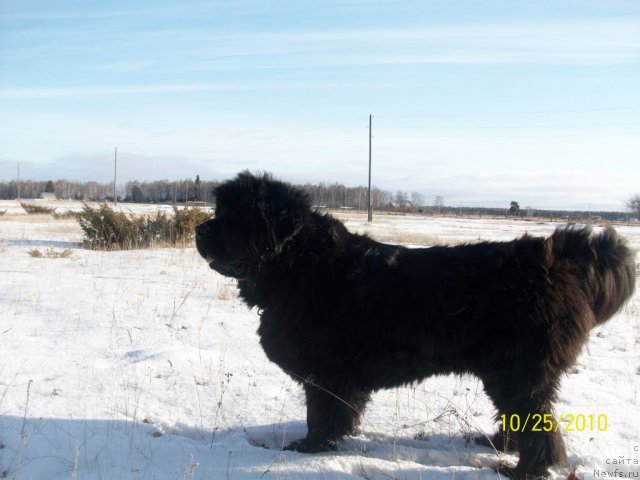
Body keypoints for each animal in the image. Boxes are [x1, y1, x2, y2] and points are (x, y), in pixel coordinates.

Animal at [195, 171, 636, 478]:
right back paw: (497, 444)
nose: (199, 228)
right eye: (219, 212)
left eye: (234, 217)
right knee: (522, 419)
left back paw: (523, 471)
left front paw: (310, 447)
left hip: (518, 373)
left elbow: (322, 414)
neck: (298, 265)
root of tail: (556, 256)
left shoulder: (328, 374)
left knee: (539, 427)